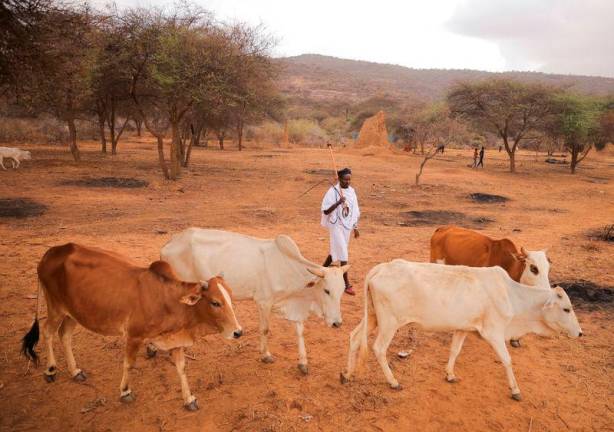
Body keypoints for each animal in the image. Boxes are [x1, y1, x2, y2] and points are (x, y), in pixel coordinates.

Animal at [19, 245, 241, 410]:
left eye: (231, 297)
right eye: (215, 302)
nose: (238, 332)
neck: (170, 300)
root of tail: (51, 252)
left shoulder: (175, 339)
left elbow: (181, 368)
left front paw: (189, 399)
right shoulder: (134, 336)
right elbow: (129, 364)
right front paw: (125, 392)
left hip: (75, 312)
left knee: (64, 335)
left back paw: (75, 371)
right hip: (56, 307)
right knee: (48, 331)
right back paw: (50, 370)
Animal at [160, 228, 352, 372]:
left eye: (342, 290)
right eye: (327, 290)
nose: (337, 323)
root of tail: (169, 244)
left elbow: (300, 331)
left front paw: (303, 363)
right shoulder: (264, 302)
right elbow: (265, 330)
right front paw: (266, 355)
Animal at [344, 258, 584, 400]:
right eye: (566, 309)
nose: (580, 333)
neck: (512, 296)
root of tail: (382, 267)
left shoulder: (463, 328)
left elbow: (454, 351)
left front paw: (450, 374)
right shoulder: (494, 333)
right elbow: (507, 360)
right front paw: (515, 390)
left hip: (373, 318)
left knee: (354, 338)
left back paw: (347, 374)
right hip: (389, 323)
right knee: (378, 349)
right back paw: (393, 382)